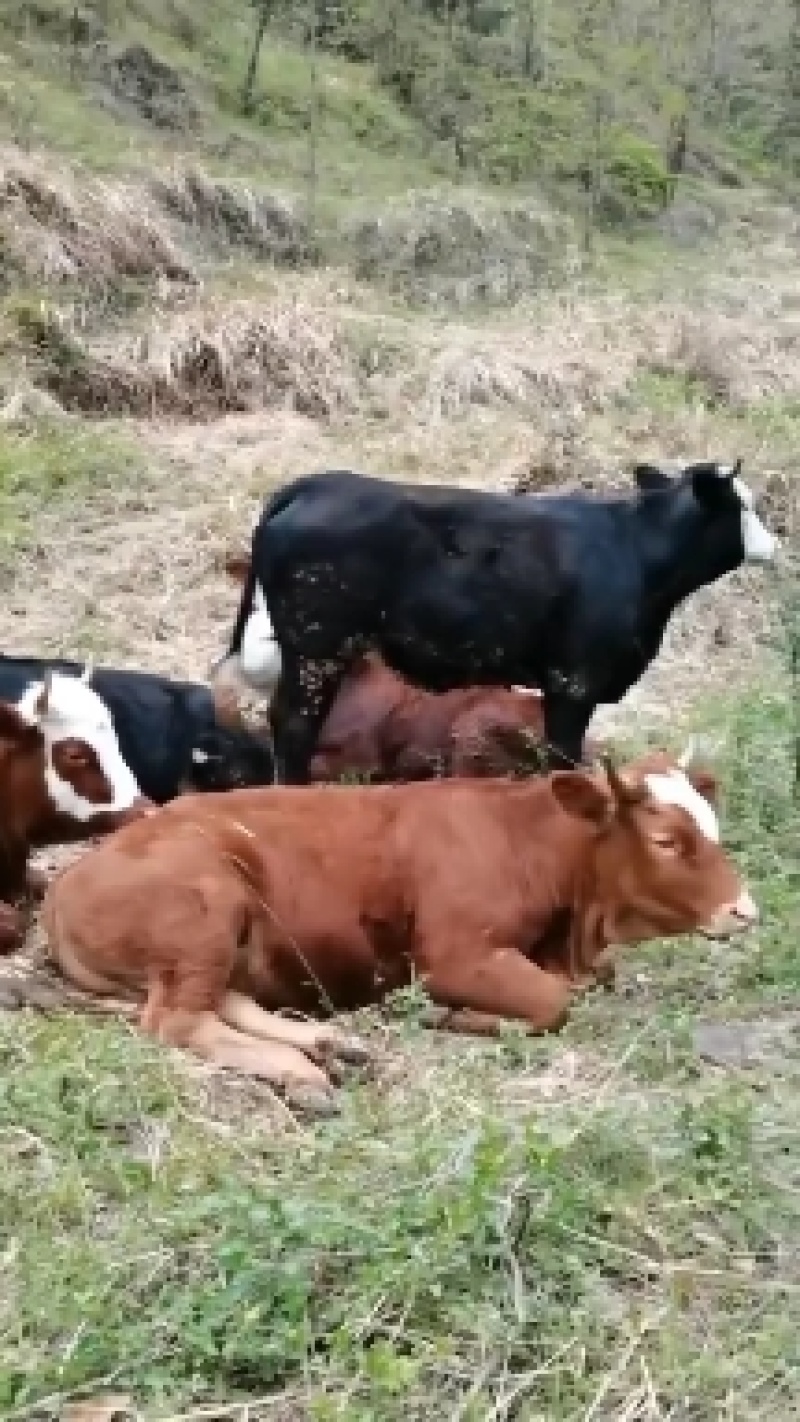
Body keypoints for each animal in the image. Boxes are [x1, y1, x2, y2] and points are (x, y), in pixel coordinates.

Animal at [42, 745, 755, 1109]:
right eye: (666, 840)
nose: (745, 910)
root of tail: (64, 885)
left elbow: (595, 981)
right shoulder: (452, 955)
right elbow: (554, 1004)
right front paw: (451, 1017)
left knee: (223, 1001)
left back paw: (332, 1045)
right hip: (207, 907)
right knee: (178, 1022)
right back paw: (301, 1072)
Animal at [215, 460, 778, 784]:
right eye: (743, 505)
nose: (774, 545)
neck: (635, 553)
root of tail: (317, 484)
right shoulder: (574, 682)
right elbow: (563, 757)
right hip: (319, 648)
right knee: (293, 725)